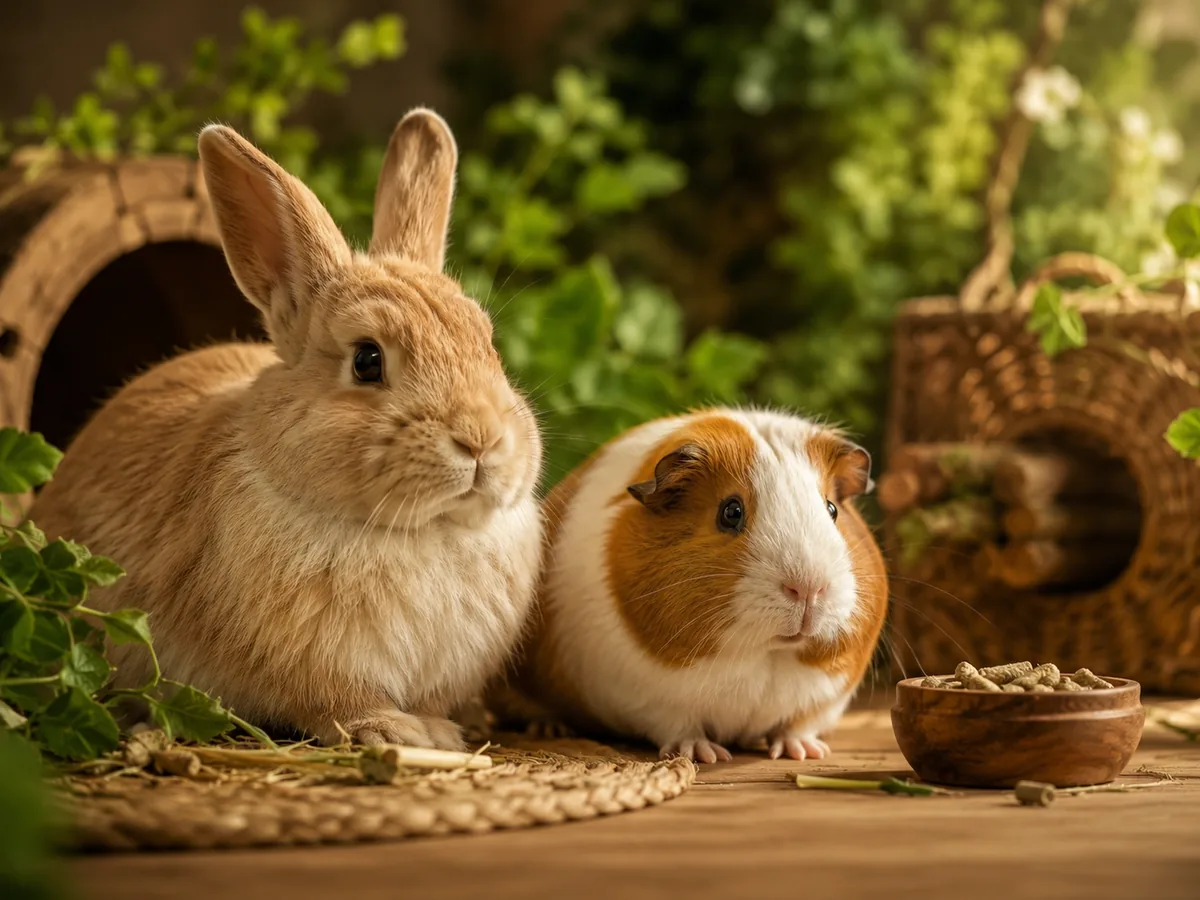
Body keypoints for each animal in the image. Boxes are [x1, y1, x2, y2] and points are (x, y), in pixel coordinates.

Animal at [28, 109, 544, 750]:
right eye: (367, 360)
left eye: (487, 343)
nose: (481, 440)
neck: (422, 530)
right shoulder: (314, 669)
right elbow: (339, 704)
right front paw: (402, 732)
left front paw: (443, 729)